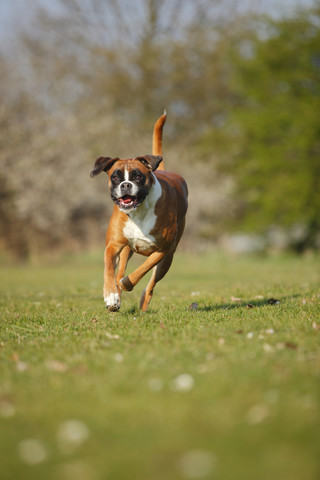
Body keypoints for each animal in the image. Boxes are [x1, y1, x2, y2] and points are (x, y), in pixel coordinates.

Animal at [89, 113, 188, 316]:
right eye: (115, 177)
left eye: (137, 176)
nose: (125, 185)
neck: (139, 211)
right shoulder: (113, 246)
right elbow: (109, 271)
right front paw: (111, 295)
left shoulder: (162, 250)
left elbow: (141, 271)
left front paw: (126, 284)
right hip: (126, 251)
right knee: (119, 272)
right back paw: (117, 297)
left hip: (167, 260)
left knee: (150, 285)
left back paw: (140, 301)